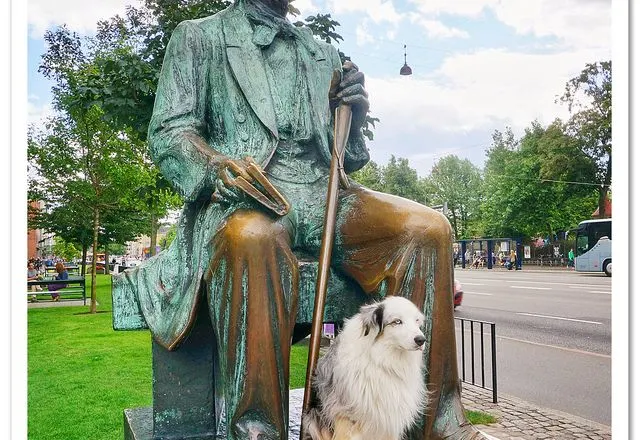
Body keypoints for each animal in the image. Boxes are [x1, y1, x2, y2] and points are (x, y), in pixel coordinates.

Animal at [302, 296, 428, 440]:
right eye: (397, 321)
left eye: (417, 321)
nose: (421, 340)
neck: (383, 361)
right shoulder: (343, 414)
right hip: (311, 419)